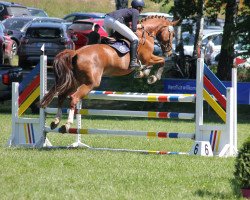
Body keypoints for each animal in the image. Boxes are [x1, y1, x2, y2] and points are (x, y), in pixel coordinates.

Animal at [40, 16, 179, 133]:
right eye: (172, 34)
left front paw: (142, 73)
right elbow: (161, 61)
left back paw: (55, 122)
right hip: (91, 83)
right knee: (73, 98)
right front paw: (153, 77)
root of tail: (75, 53)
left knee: (62, 96)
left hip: (76, 81)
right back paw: (66, 125)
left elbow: (152, 64)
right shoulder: (148, 57)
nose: (169, 52)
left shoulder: (147, 59)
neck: (145, 33)